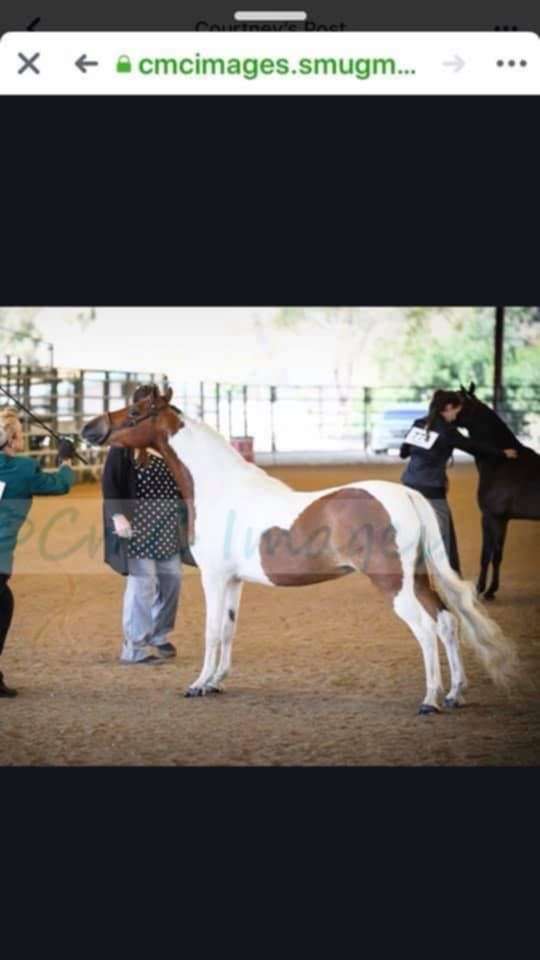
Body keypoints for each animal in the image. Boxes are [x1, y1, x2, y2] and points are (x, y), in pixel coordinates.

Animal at [82, 384, 516, 712]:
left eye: (136, 410)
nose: (89, 428)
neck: (220, 486)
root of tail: (407, 495)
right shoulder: (234, 581)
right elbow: (228, 629)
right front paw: (217, 682)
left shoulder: (215, 578)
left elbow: (211, 632)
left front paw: (198, 684)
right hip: (418, 579)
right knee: (446, 621)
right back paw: (455, 693)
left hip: (393, 583)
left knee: (425, 629)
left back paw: (430, 700)